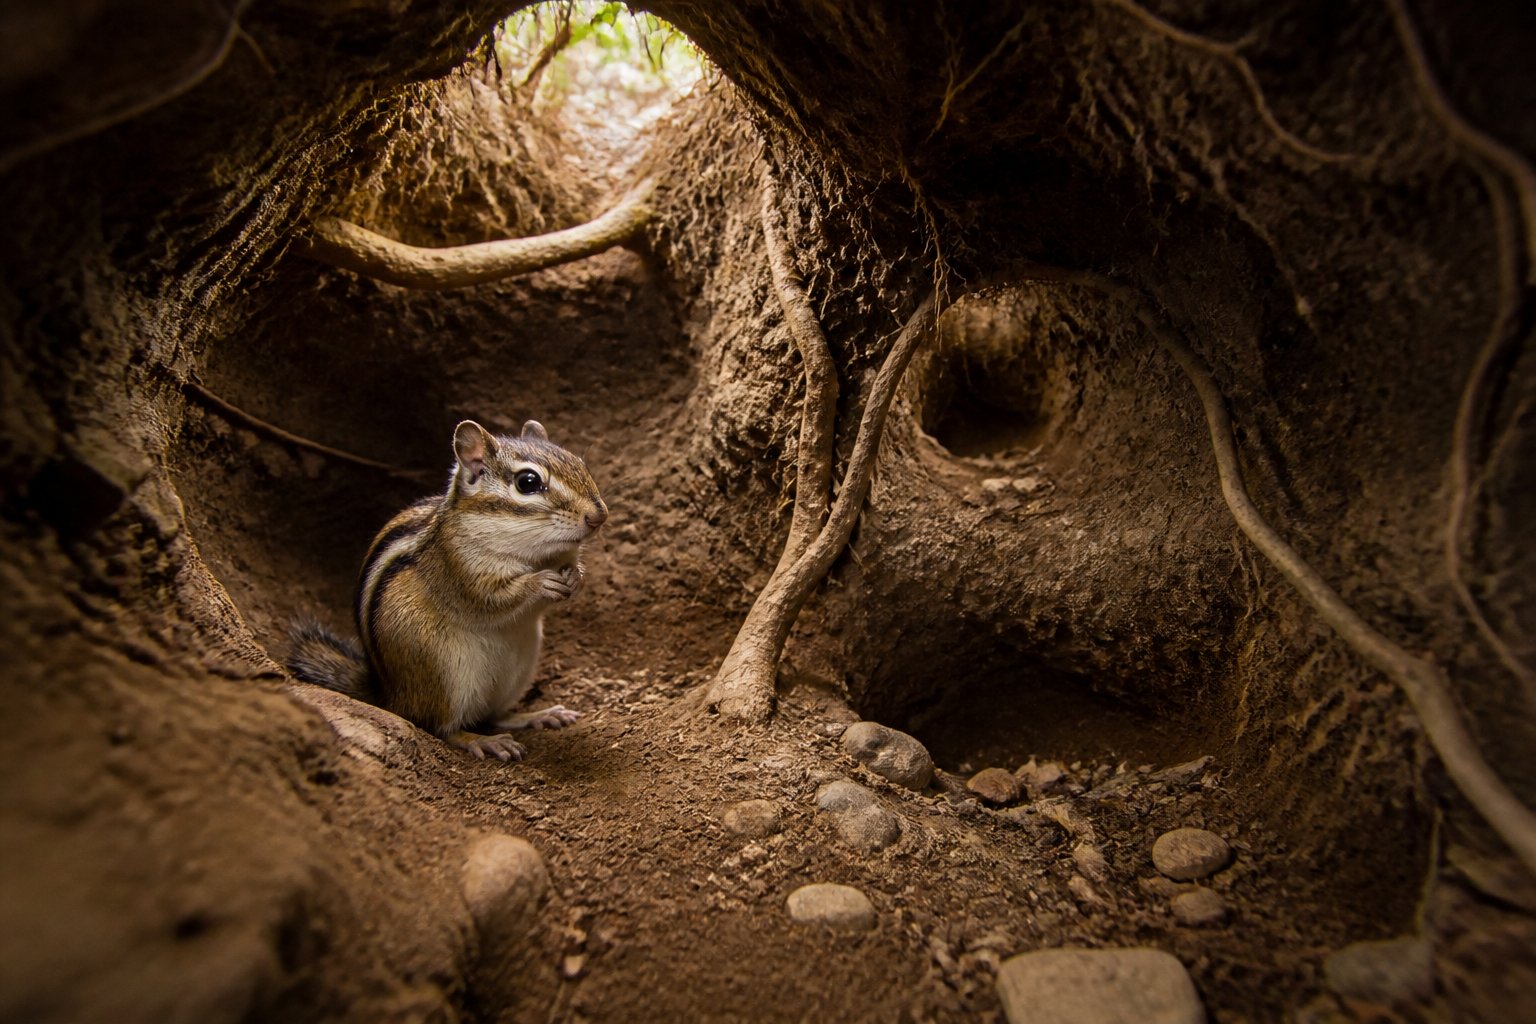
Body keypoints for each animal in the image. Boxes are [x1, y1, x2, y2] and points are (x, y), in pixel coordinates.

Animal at [288, 419, 607, 761]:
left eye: (580, 464)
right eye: (528, 482)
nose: (599, 516)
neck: (534, 553)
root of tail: (390, 695)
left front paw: (575, 577)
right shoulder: (459, 569)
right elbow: (491, 599)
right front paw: (540, 582)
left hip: (518, 669)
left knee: (495, 715)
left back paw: (537, 715)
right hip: (446, 677)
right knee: (441, 726)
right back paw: (481, 741)